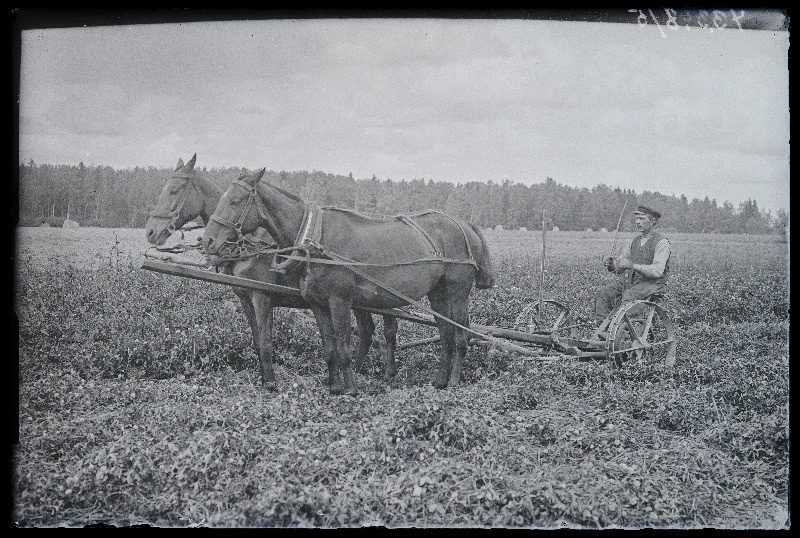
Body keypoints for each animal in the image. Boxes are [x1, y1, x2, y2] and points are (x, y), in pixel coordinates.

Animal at [145, 153, 400, 388]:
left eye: (174, 190)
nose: (150, 232)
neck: (248, 244)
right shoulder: (245, 298)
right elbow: (258, 341)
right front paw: (263, 378)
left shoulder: (262, 297)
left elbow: (267, 343)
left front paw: (270, 383)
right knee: (369, 329)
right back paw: (360, 370)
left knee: (386, 330)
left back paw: (385, 371)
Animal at [200, 168, 494, 394]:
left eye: (236, 200)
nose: (208, 241)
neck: (314, 238)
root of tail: (464, 224)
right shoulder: (317, 303)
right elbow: (329, 348)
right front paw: (334, 387)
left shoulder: (337, 300)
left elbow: (342, 347)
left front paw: (350, 389)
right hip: (437, 293)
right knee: (445, 334)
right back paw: (439, 380)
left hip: (457, 292)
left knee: (461, 335)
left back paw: (453, 381)